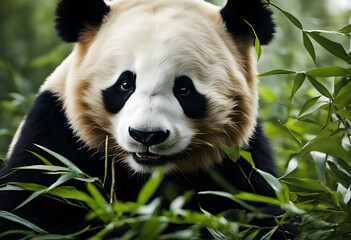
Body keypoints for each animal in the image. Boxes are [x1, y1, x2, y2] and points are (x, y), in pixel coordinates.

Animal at [0, 0, 296, 238]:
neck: (147, 174)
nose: (147, 135)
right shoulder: (52, 136)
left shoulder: (242, 158)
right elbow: (30, 218)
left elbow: (272, 213)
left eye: (184, 89)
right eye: (125, 84)